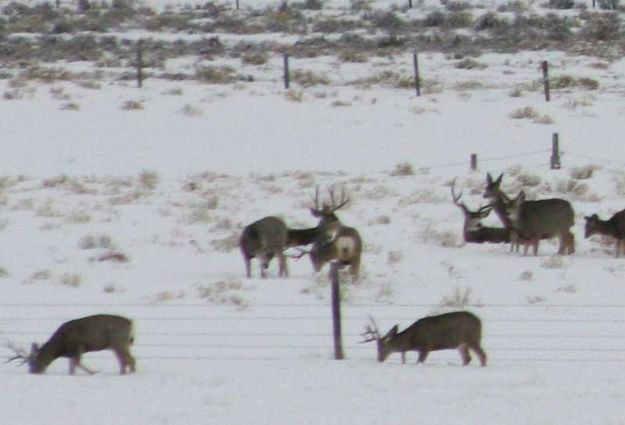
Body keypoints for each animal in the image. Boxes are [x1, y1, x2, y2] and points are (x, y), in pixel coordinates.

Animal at [7, 312, 135, 374]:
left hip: (119, 342)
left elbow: (77, 363)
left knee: (129, 359)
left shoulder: (78, 346)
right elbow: (72, 366)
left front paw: (94, 372)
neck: (60, 346)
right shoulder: (72, 352)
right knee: (126, 360)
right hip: (118, 344)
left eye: (34, 362)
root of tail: (130, 322)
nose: (33, 372)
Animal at [360, 310, 488, 366]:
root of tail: (480, 321)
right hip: (461, 343)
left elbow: (419, 362)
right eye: (377, 348)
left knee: (482, 355)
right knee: (468, 358)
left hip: (472, 338)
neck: (411, 341)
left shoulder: (426, 346)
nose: (380, 359)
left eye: (383, 348)